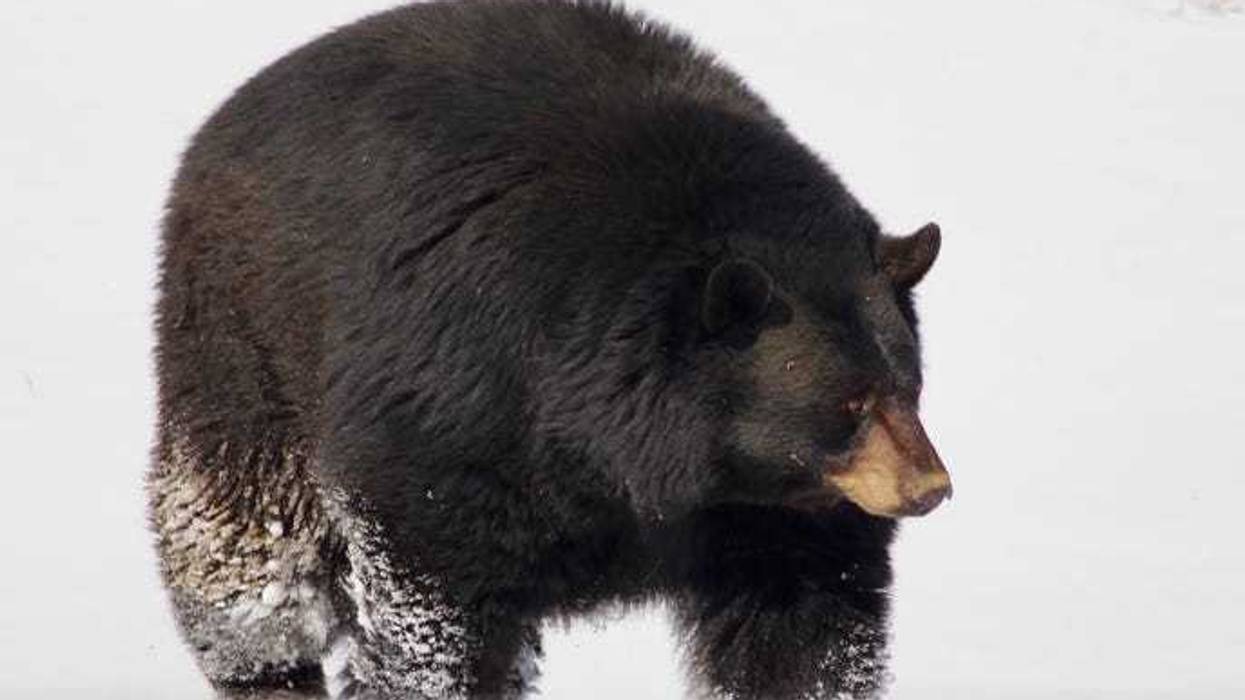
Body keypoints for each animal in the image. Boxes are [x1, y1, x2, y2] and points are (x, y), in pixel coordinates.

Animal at [147, 1, 952, 699]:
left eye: (909, 385)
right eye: (847, 401)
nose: (931, 488)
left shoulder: (776, 516)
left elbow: (804, 629)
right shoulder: (454, 408)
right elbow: (431, 610)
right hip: (243, 343)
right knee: (244, 546)